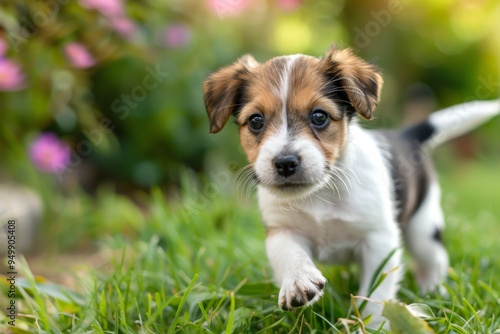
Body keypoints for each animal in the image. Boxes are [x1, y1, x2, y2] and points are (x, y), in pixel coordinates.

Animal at [202, 45, 500, 324]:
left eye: (319, 117)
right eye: (256, 121)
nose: (285, 163)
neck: (320, 193)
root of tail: (406, 136)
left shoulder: (380, 239)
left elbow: (376, 293)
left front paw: (372, 324)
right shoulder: (281, 230)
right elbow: (291, 254)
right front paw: (298, 280)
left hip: (424, 229)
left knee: (432, 262)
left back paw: (435, 293)